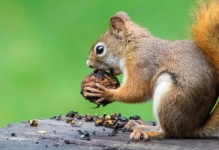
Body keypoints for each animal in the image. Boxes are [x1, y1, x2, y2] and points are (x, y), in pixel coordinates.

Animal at [83, 0, 219, 140]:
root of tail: (193, 129)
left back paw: (146, 131)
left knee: (167, 132)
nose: (88, 64)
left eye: (99, 49)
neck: (132, 46)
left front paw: (106, 93)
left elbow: (137, 91)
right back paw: (136, 124)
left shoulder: (141, 64)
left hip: (170, 98)